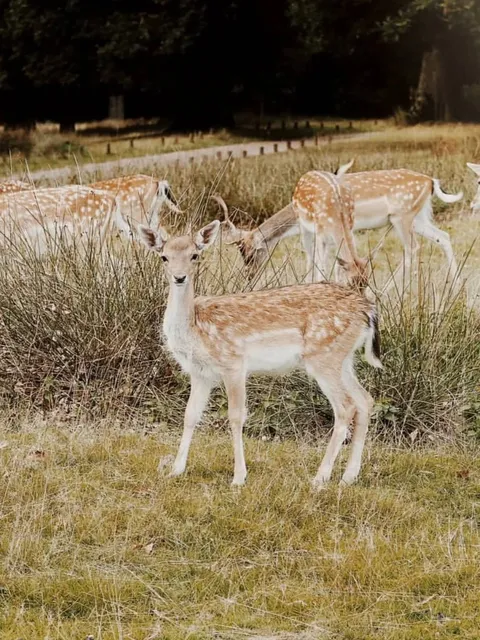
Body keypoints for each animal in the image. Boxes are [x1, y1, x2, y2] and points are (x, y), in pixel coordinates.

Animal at [139, 218, 382, 489]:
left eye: (195, 255)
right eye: (164, 257)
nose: (179, 277)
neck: (196, 329)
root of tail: (368, 310)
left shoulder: (233, 362)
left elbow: (236, 417)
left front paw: (238, 477)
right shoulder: (200, 373)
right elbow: (190, 414)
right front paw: (175, 470)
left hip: (324, 357)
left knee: (346, 407)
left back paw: (320, 477)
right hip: (343, 358)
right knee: (365, 399)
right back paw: (349, 476)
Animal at [217, 160, 462, 282]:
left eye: (249, 254)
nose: (248, 277)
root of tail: (431, 181)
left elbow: (315, 260)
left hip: (402, 217)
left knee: (412, 247)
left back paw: (390, 288)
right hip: (419, 217)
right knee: (443, 236)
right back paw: (455, 285)